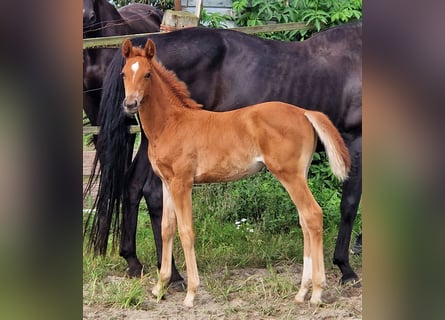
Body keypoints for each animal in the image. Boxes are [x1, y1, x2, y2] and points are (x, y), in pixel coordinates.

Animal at [86, 21, 360, 284]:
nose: (130, 102)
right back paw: (173, 275)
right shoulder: (355, 140)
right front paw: (346, 268)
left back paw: (134, 261)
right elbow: (350, 203)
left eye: (146, 74)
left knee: (132, 186)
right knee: (151, 194)